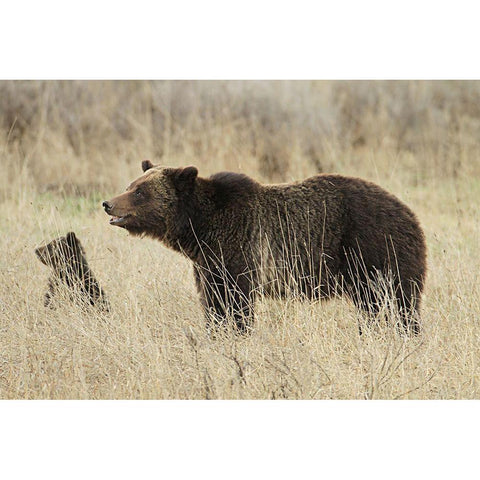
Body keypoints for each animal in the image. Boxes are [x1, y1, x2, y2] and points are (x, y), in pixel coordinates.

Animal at [103, 161, 426, 334]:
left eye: (140, 191)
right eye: (131, 185)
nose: (108, 203)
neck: (200, 227)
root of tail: (409, 213)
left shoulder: (239, 249)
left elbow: (236, 302)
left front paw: (237, 333)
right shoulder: (208, 263)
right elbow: (213, 302)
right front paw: (216, 333)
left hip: (373, 250)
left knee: (397, 302)